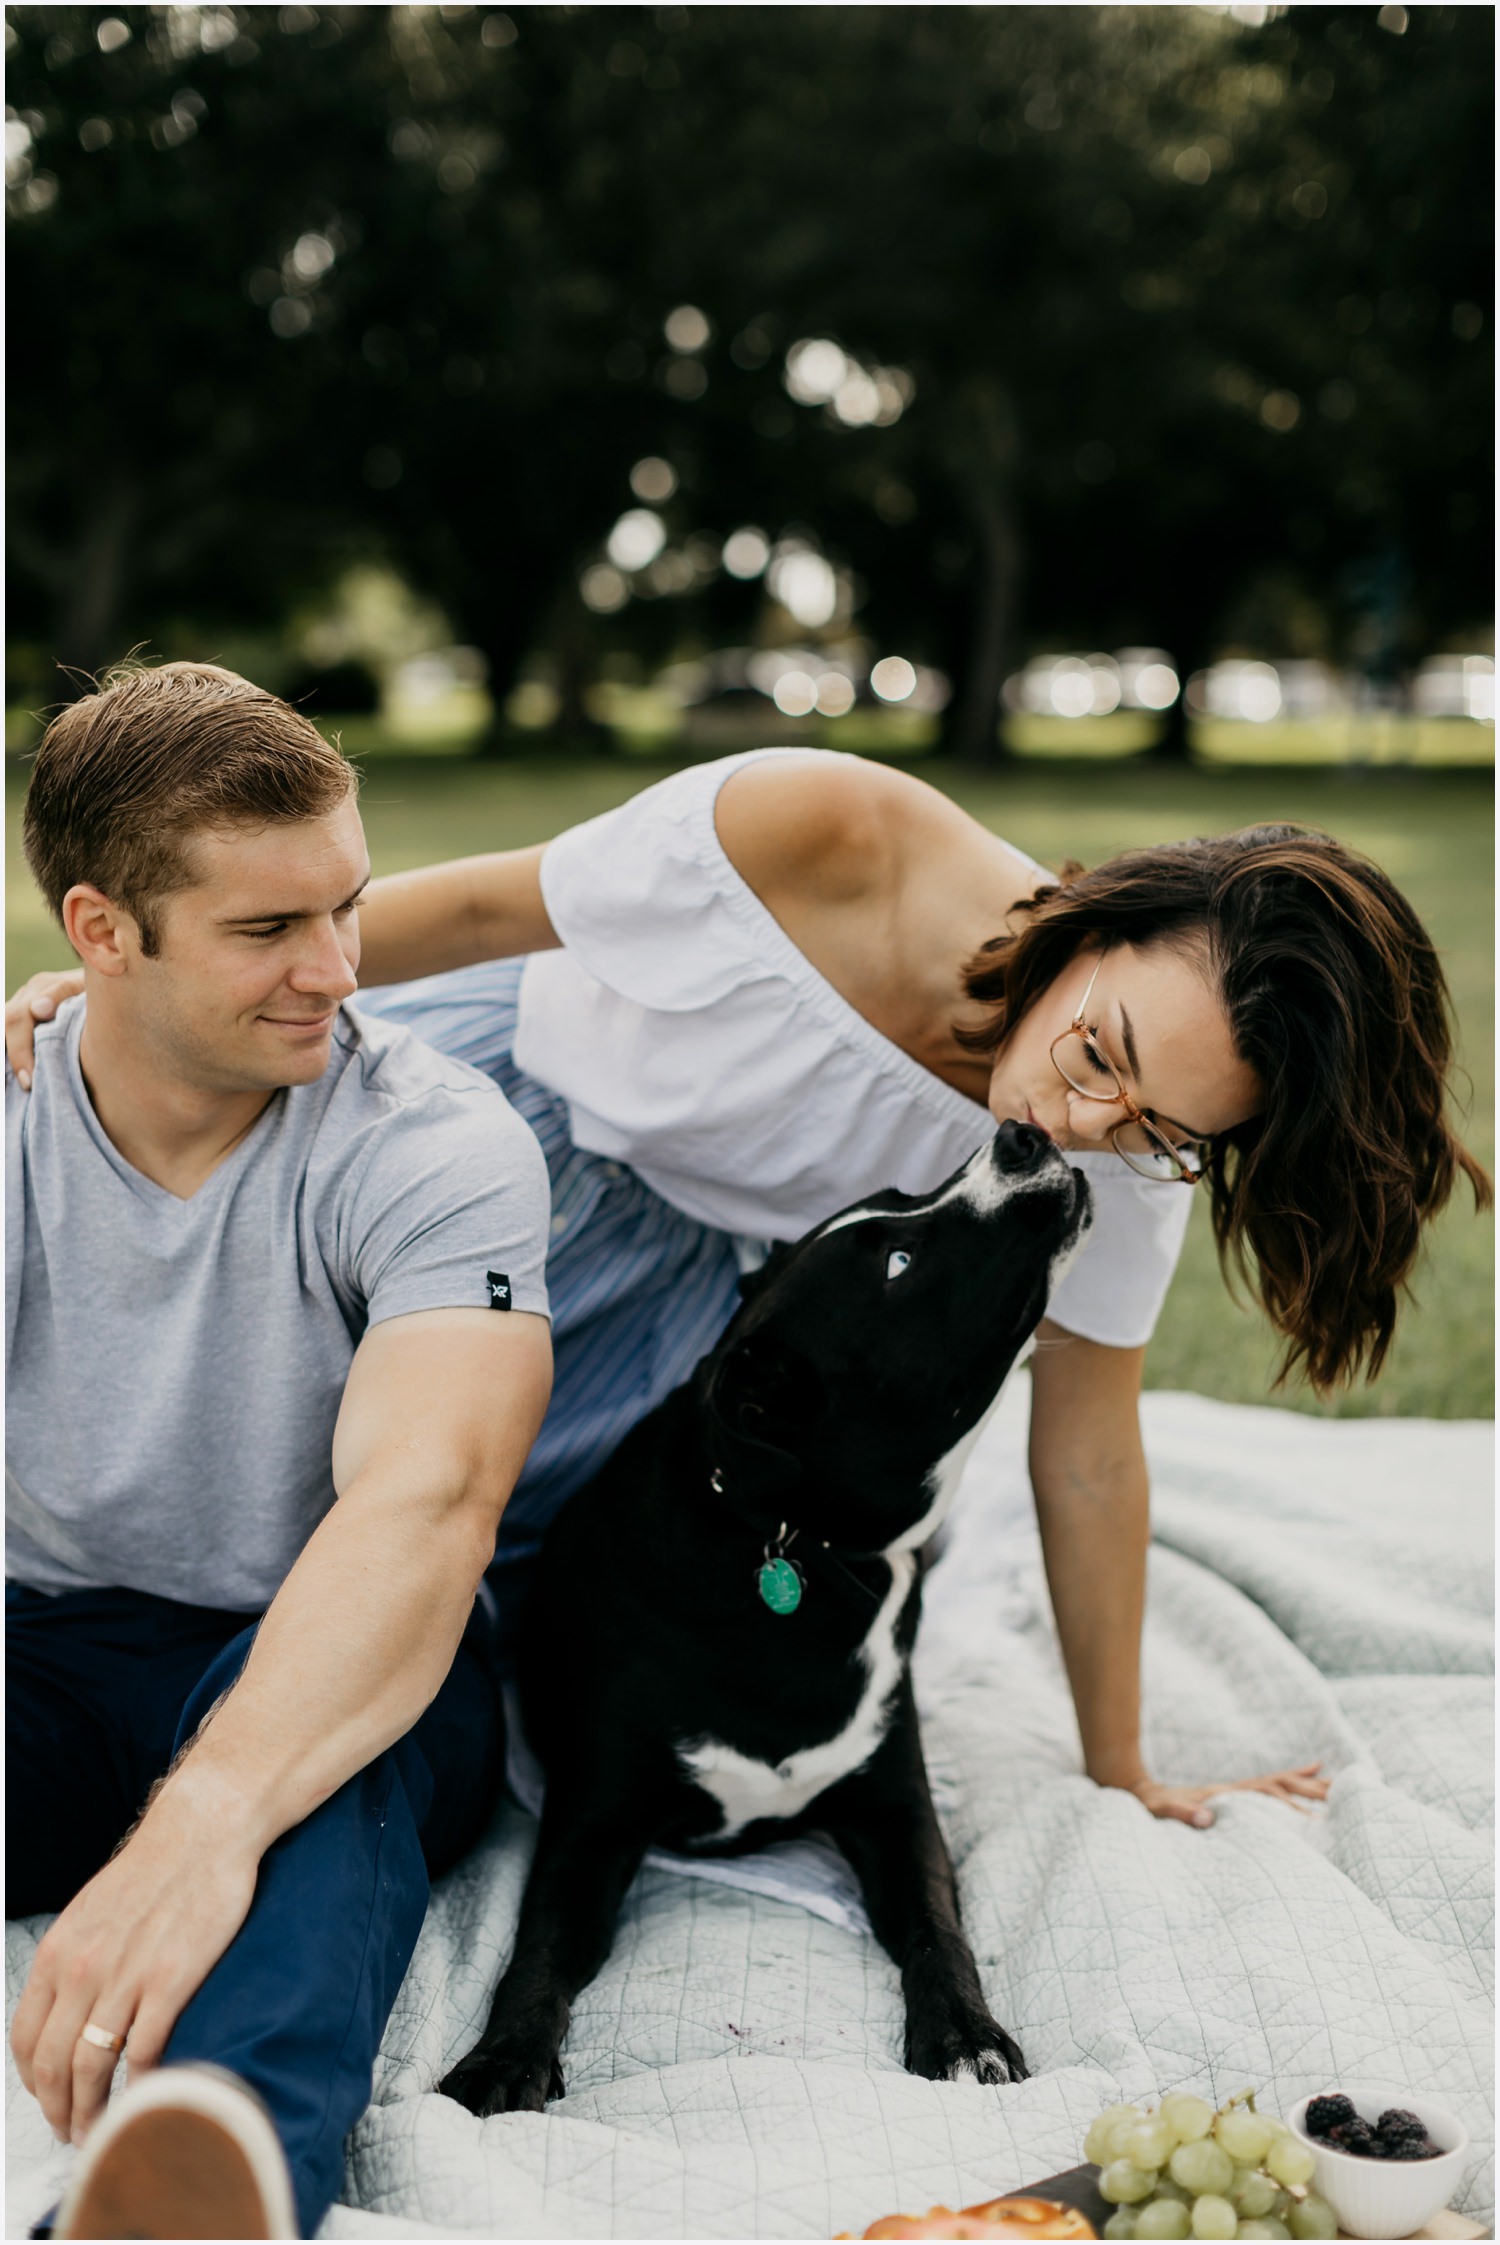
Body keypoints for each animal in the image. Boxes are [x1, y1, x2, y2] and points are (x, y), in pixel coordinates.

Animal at [442, 1122, 1091, 2119]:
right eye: (900, 1262)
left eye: (901, 1200)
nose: (1021, 1133)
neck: (797, 1546)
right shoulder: (590, 1825)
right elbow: (538, 1948)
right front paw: (503, 2056)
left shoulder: (895, 1806)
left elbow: (939, 1926)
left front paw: (966, 2033)